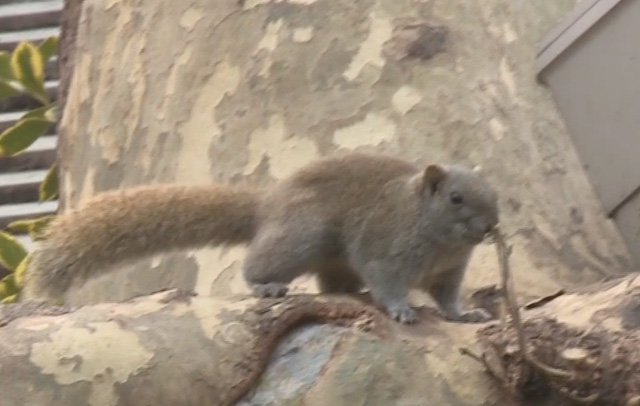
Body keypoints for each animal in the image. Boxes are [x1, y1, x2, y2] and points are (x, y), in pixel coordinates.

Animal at [22, 151, 498, 324]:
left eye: (494, 191)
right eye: (455, 198)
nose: (491, 227)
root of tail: (269, 205)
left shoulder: (449, 273)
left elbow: (448, 299)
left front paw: (466, 315)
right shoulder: (387, 250)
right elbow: (387, 282)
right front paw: (401, 309)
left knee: (333, 282)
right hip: (301, 239)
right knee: (259, 264)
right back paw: (266, 285)